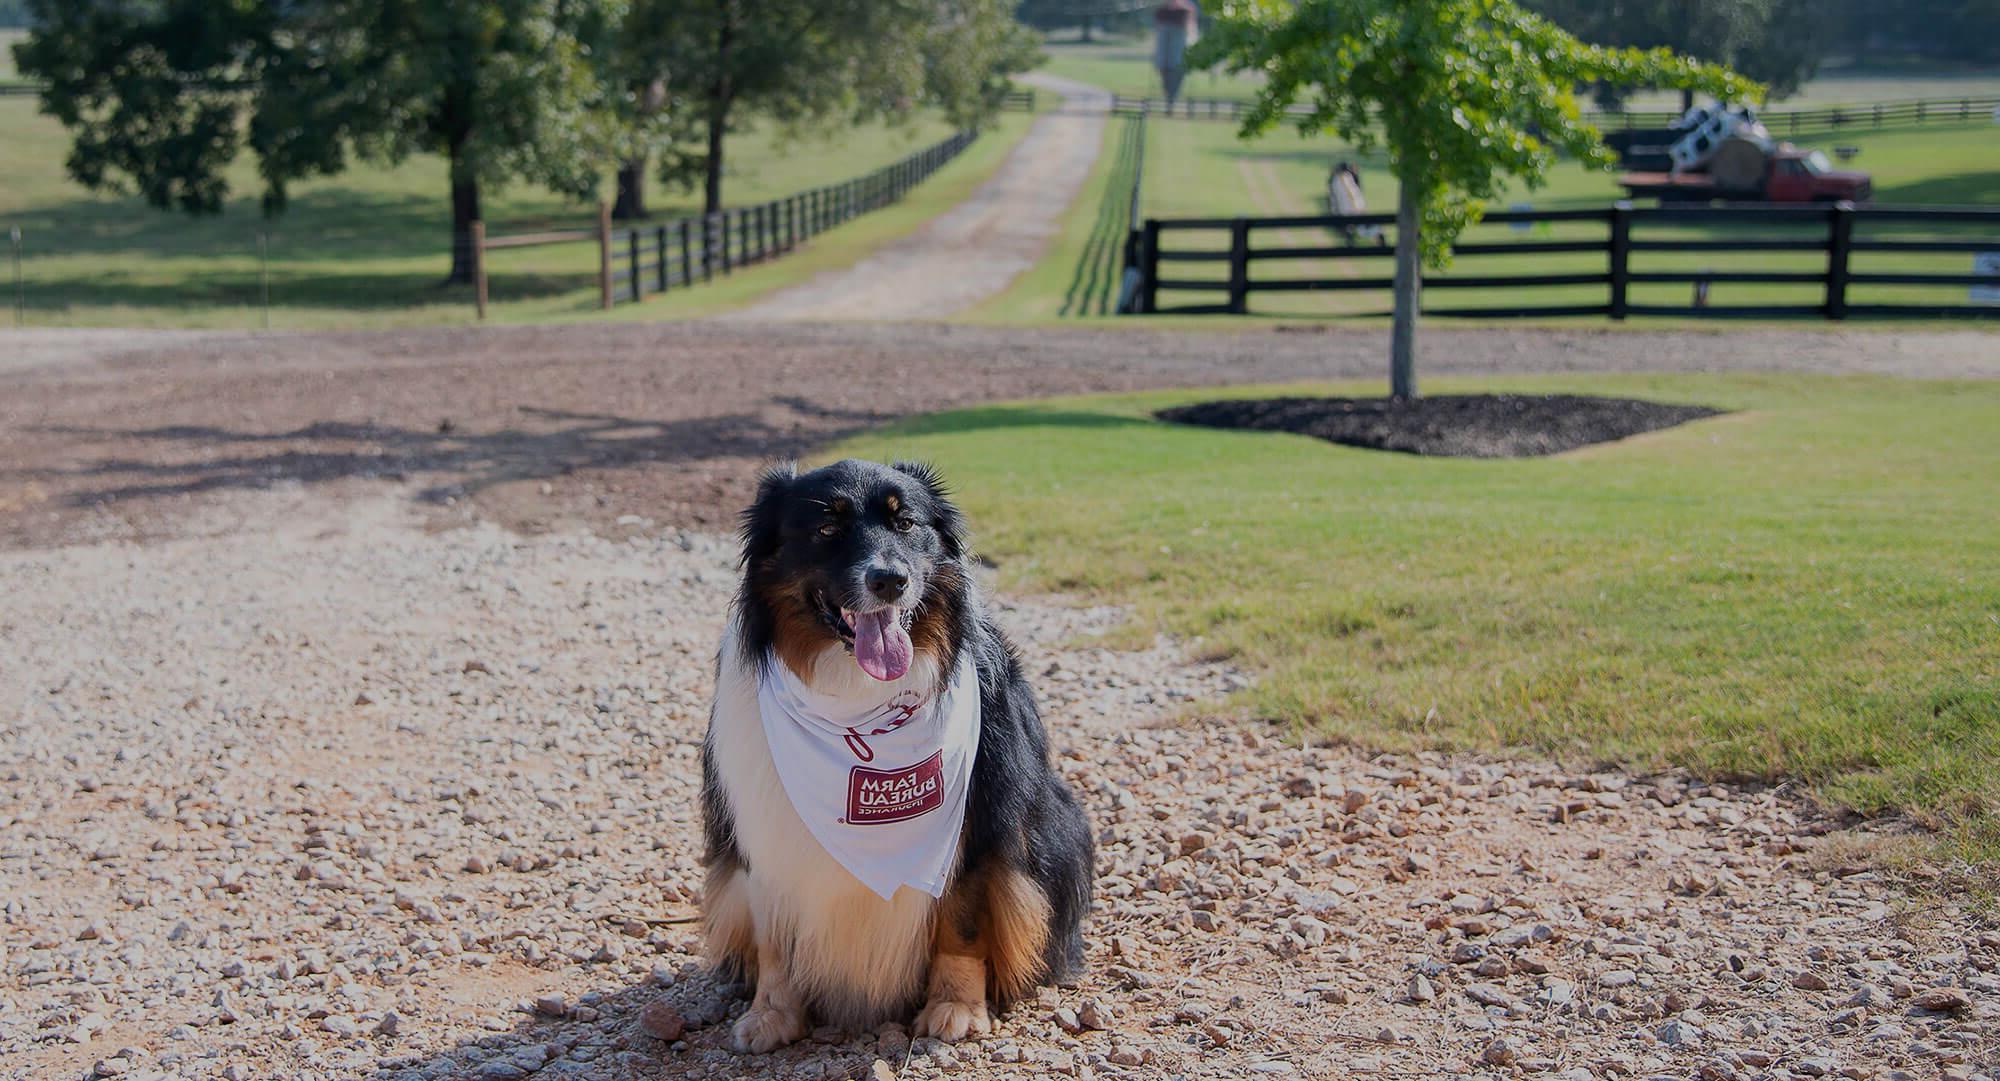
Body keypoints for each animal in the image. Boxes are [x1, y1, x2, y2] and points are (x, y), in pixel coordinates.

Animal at [700, 460, 1096, 1048]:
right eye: (825, 528)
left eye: (905, 523)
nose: (890, 580)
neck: (857, 698)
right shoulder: (763, 828)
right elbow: (773, 932)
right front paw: (772, 1013)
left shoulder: (980, 819)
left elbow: (964, 919)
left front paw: (956, 1007)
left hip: (1060, 828)